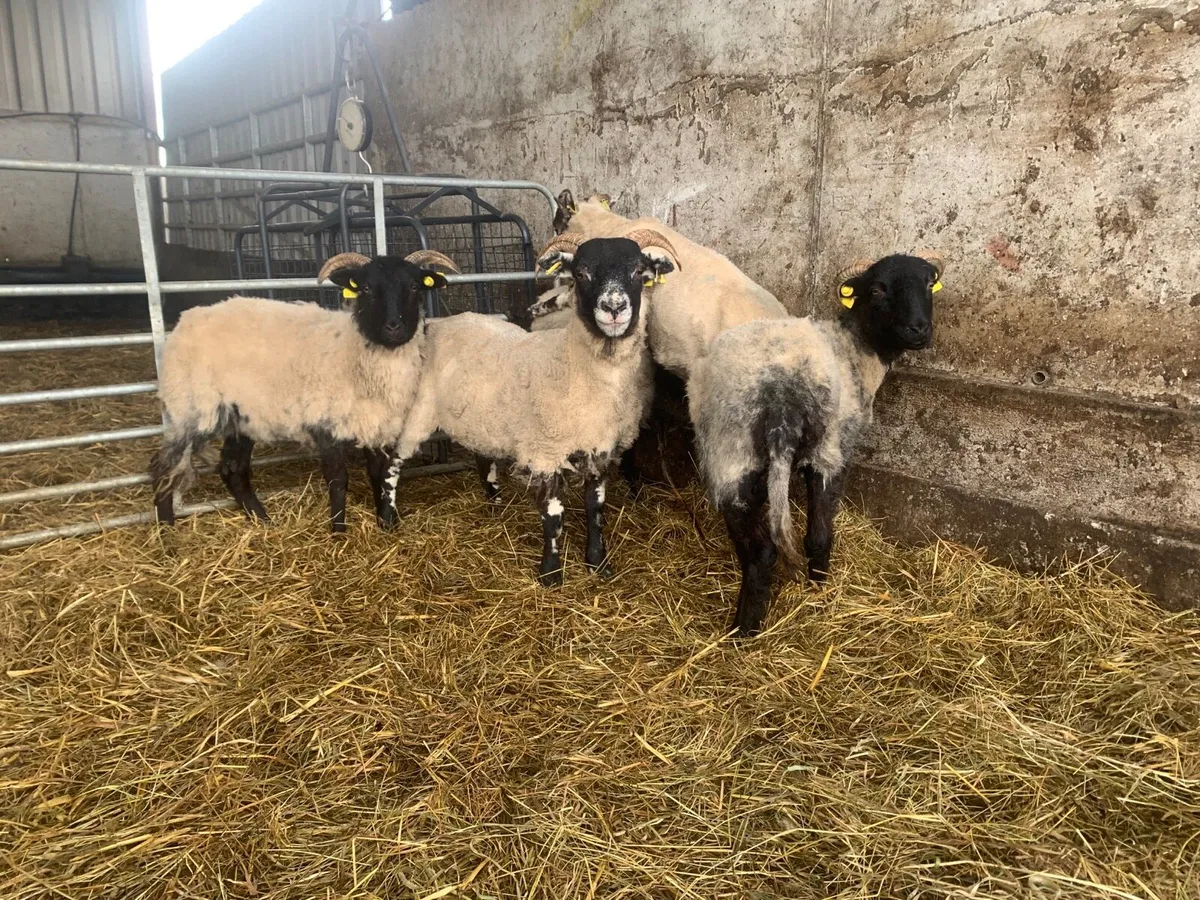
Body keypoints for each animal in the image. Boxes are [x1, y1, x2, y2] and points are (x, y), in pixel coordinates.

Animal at [149, 249, 460, 533]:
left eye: (415, 287)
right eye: (367, 288)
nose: (394, 327)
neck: (355, 352)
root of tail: (184, 322)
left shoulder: (375, 425)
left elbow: (379, 475)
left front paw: (387, 523)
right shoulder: (325, 423)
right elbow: (338, 480)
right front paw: (338, 533)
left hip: (241, 415)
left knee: (232, 468)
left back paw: (263, 521)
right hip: (188, 408)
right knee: (163, 466)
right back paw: (166, 534)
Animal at [392, 230, 681, 585]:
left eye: (638, 272)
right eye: (581, 273)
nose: (614, 307)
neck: (574, 366)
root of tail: (441, 323)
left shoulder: (600, 450)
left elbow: (596, 509)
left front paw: (598, 564)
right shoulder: (545, 451)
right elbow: (554, 516)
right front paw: (551, 573)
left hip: (480, 416)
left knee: (482, 456)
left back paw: (495, 503)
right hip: (414, 411)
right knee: (391, 461)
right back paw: (387, 517)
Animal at [689, 252, 945, 636]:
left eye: (929, 284)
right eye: (878, 289)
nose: (918, 330)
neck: (855, 349)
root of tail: (780, 391)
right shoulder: (836, 450)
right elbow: (820, 530)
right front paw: (818, 583)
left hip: (729, 454)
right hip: (823, 447)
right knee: (784, 545)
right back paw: (748, 628)